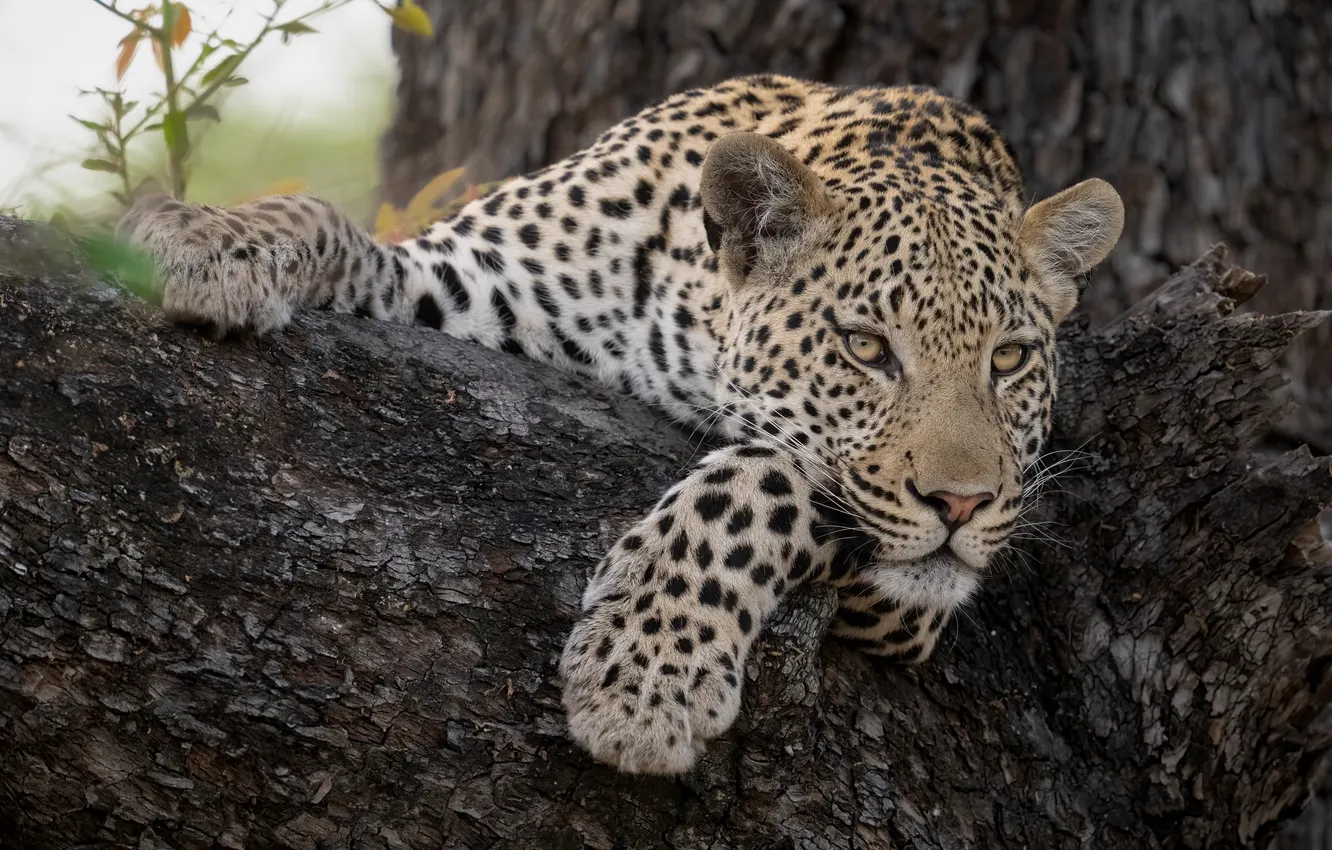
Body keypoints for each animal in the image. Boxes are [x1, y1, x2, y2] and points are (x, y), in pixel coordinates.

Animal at [120, 74, 1124, 776]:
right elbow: (325, 219)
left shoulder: (898, 606)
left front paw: (644, 673)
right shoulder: (468, 281)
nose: (963, 504)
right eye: (867, 347)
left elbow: (767, 472)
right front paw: (201, 238)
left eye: (1010, 360)